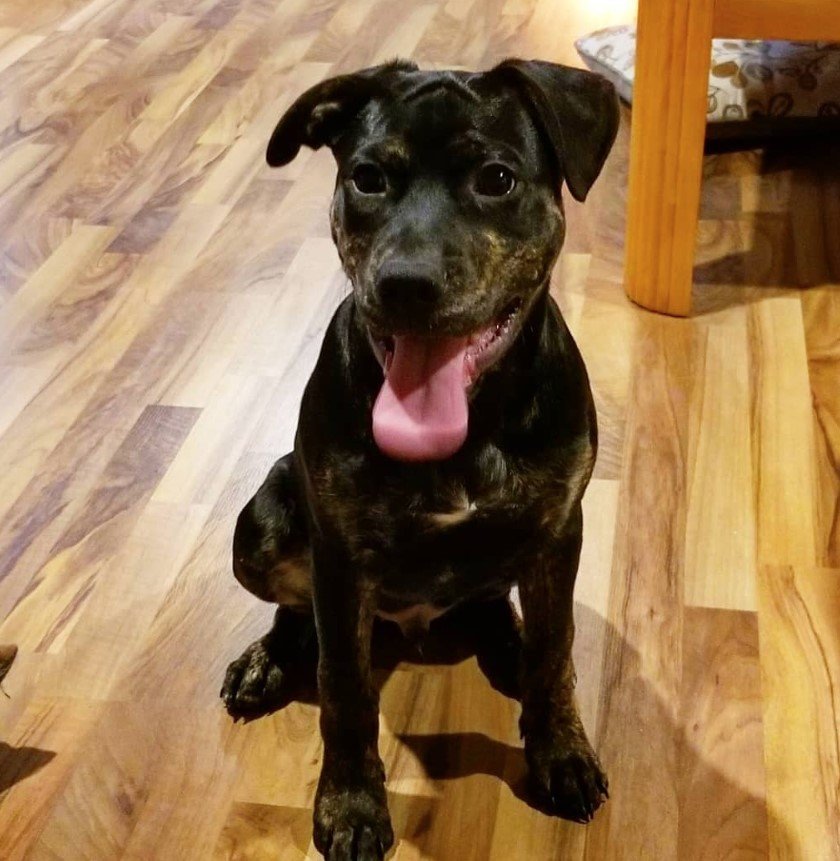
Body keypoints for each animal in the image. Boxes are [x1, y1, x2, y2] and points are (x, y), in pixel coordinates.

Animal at [220, 57, 620, 856]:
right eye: (368, 177)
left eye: (496, 178)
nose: (406, 284)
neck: (469, 424)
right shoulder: (340, 556)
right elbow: (343, 687)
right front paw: (350, 804)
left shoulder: (560, 529)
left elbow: (556, 649)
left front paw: (559, 751)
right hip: (265, 522)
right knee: (297, 612)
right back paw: (269, 658)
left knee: (500, 605)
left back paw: (507, 645)